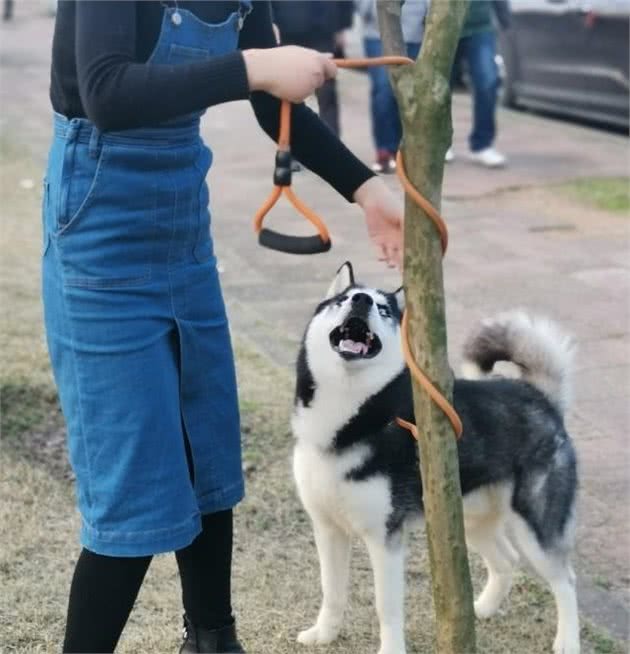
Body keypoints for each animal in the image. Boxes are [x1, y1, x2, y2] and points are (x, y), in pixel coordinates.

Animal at [294, 262, 580, 654]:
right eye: (343, 299)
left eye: (384, 309)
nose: (362, 300)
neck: (350, 420)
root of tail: (538, 395)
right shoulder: (327, 528)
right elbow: (332, 591)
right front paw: (323, 635)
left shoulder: (385, 537)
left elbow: (386, 606)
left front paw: (390, 650)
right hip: (464, 520)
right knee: (507, 561)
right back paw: (480, 610)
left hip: (534, 529)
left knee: (566, 578)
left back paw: (567, 640)